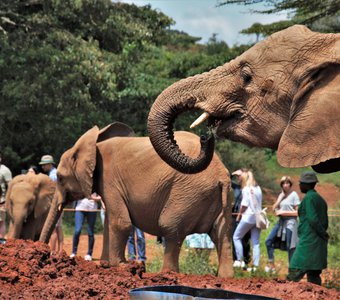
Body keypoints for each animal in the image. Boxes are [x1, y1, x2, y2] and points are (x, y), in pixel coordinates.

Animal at [40, 123, 234, 278]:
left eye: (60, 178)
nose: (45, 254)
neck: (94, 146)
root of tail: (221, 174)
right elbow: (110, 221)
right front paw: (105, 265)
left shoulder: (109, 180)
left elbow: (120, 223)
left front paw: (119, 265)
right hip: (219, 197)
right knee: (222, 235)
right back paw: (225, 278)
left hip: (187, 193)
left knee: (171, 229)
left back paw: (167, 274)